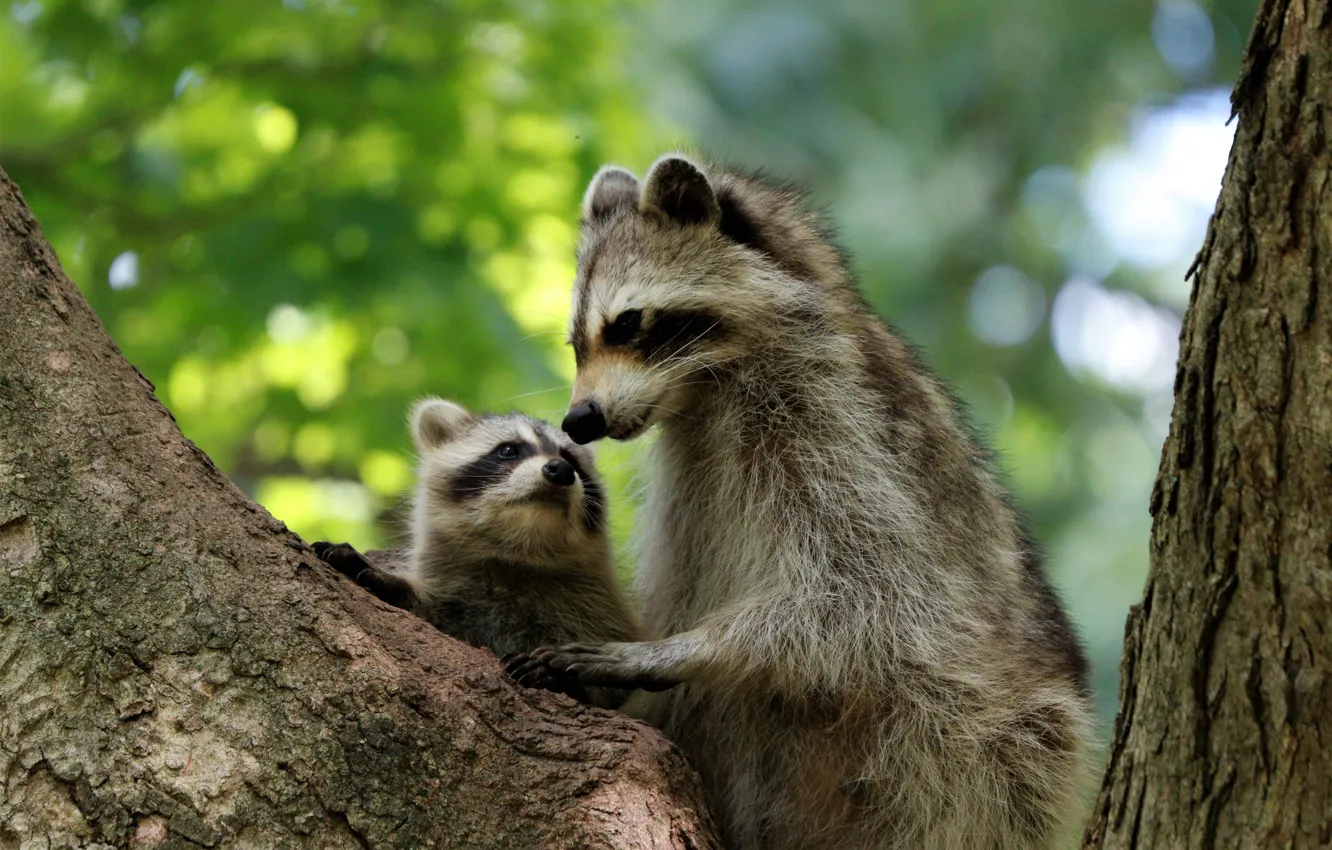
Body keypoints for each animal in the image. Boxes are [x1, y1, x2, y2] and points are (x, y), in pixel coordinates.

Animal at [318, 397, 641, 709]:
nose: (560, 469)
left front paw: (565, 679)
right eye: (508, 450)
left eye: (571, 460)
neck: (517, 554)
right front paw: (390, 583)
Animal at [508, 155, 1095, 848]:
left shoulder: (838, 427)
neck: (707, 388)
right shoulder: (691, 477)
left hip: (994, 748)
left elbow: (863, 595)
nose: (578, 421)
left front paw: (672, 650)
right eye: (576, 345)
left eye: (627, 323)